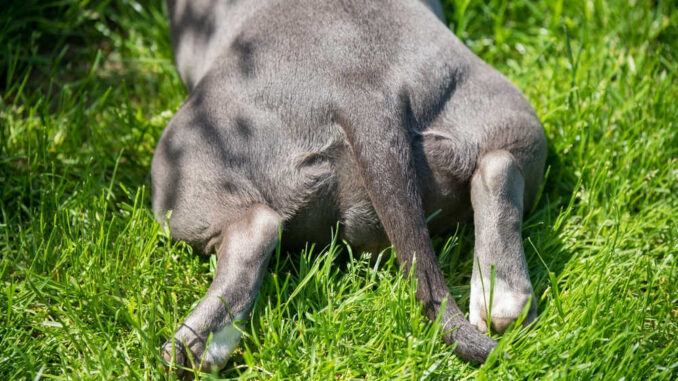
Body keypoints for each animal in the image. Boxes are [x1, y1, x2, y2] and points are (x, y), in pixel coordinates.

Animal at [153, 0, 548, 372]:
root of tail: (364, 93)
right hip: (504, 112)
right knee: (498, 166)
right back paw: (504, 300)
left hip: (182, 165)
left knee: (254, 228)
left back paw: (195, 348)